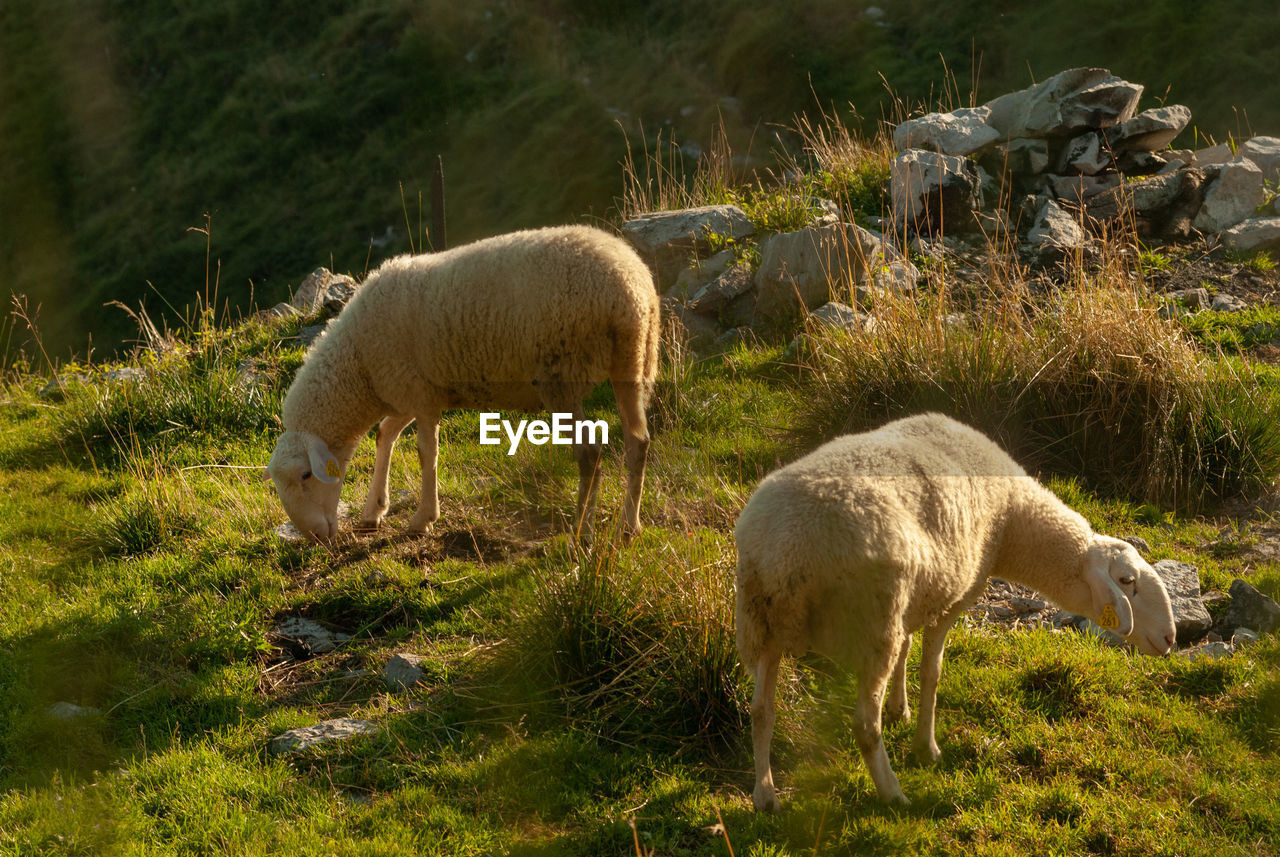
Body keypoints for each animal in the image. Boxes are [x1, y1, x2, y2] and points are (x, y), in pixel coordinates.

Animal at [262, 223, 660, 544]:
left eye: (306, 475)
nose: (315, 537)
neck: (358, 366)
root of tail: (628, 287)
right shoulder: (410, 392)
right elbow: (385, 434)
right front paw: (374, 509)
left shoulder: (418, 394)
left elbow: (425, 451)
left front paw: (422, 519)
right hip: (634, 361)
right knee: (637, 440)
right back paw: (630, 526)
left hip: (560, 373)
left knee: (589, 452)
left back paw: (582, 530)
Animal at [737, 414, 1172, 813]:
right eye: (1127, 580)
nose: (1170, 638)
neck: (1014, 519)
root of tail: (786, 548)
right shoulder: (954, 596)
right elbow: (932, 673)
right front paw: (926, 747)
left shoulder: (917, 596)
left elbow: (907, 649)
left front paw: (900, 709)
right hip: (873, 623)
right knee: (863, 724)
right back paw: (892, 793)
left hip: (763, 623)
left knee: (761, 710)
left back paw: (765, 795)